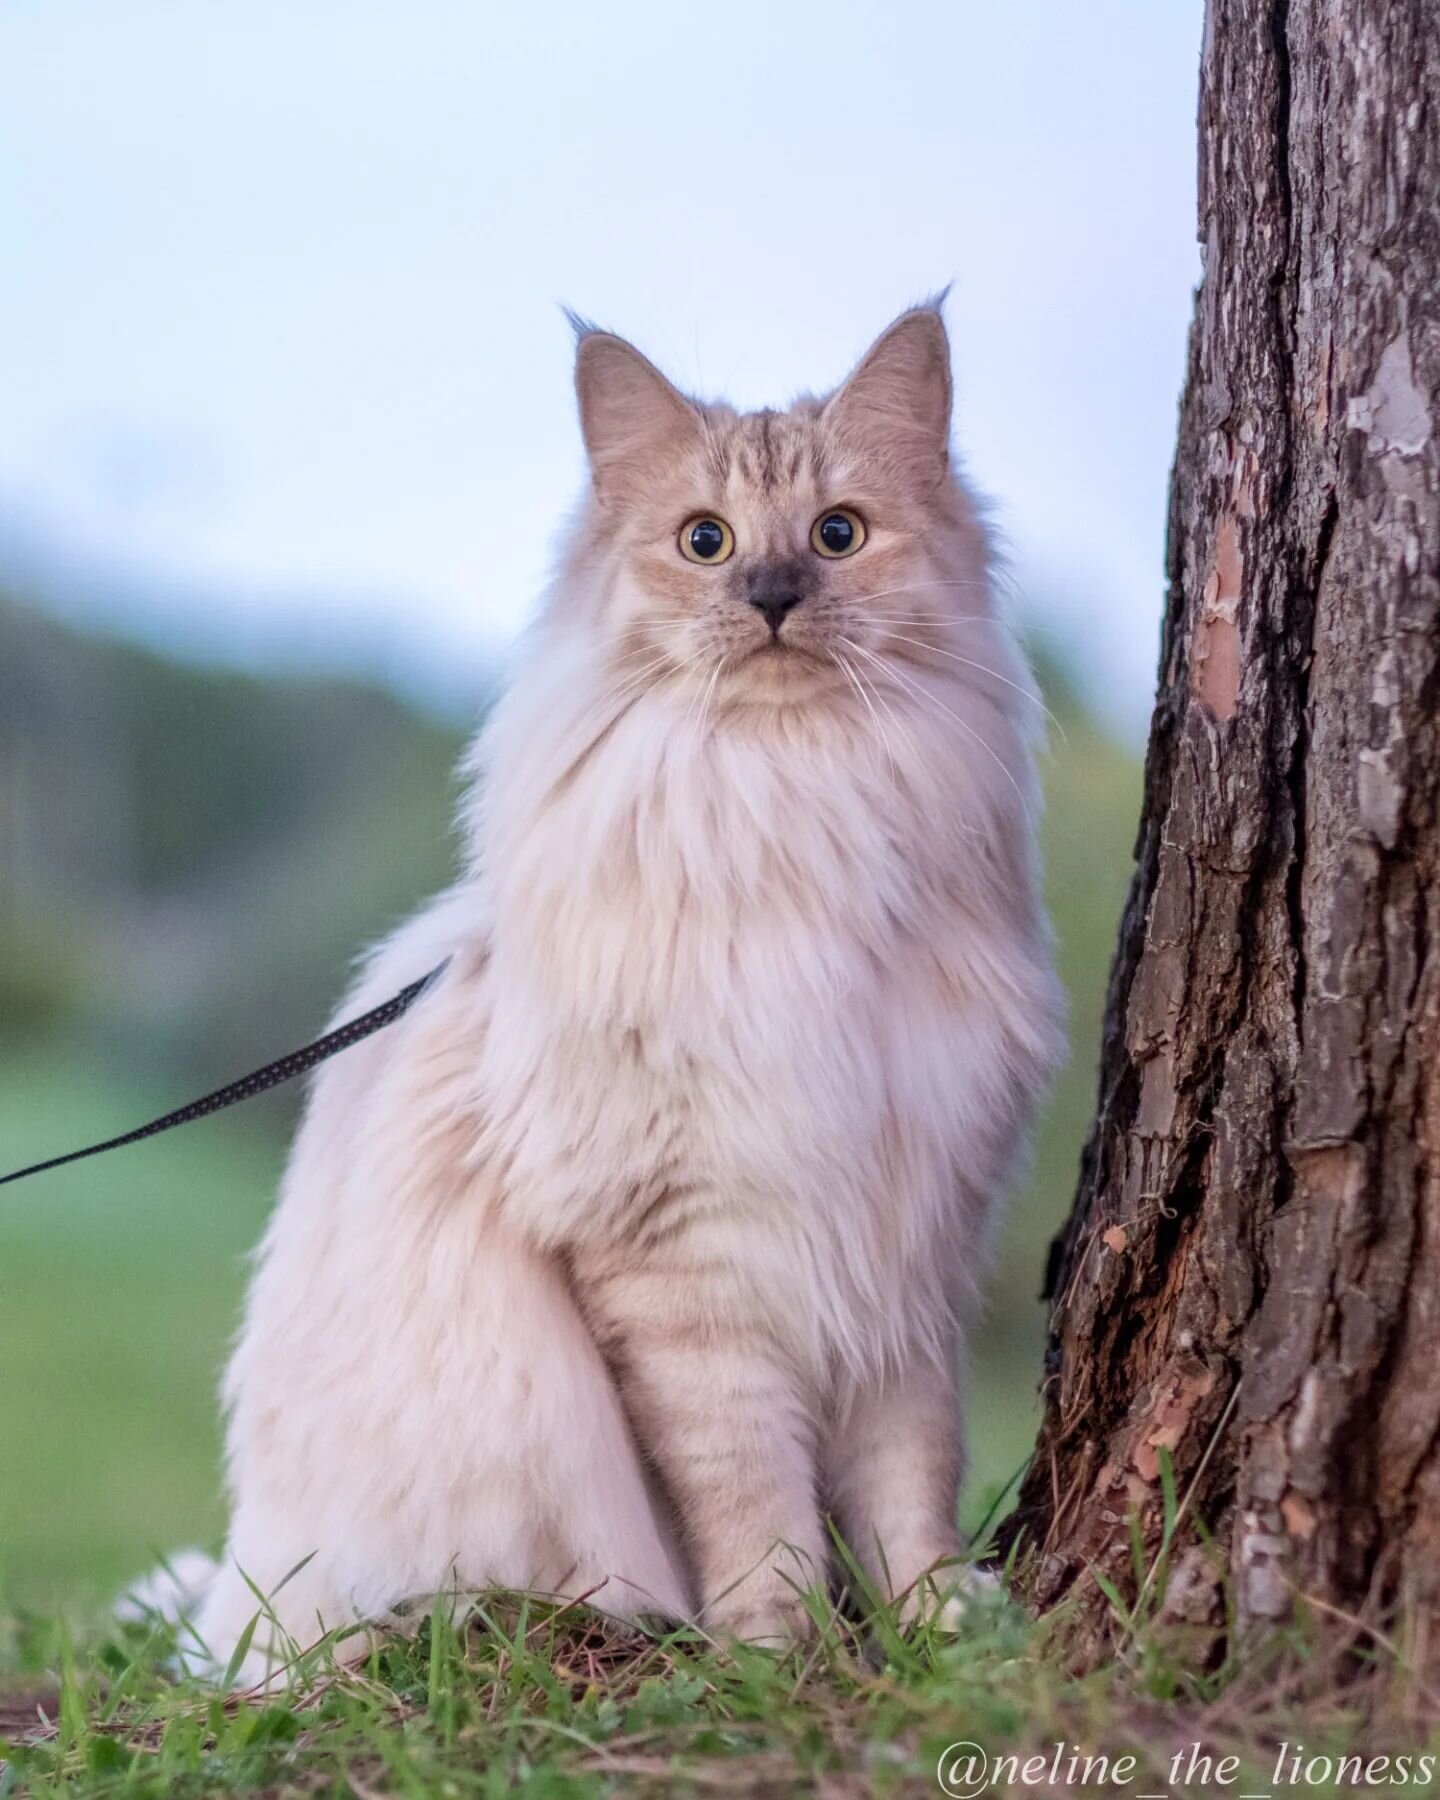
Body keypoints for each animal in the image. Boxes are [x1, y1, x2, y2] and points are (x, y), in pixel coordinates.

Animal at [154, 298, 1065, 1684]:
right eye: (707, 542)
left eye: (838, 535)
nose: (773, 594)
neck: (800, 805)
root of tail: (233, 1630)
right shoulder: (682, 1266)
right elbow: (750, 1494)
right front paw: (777, 1650)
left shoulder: (907, 1245)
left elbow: (911, 1481)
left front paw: (936, 1630)